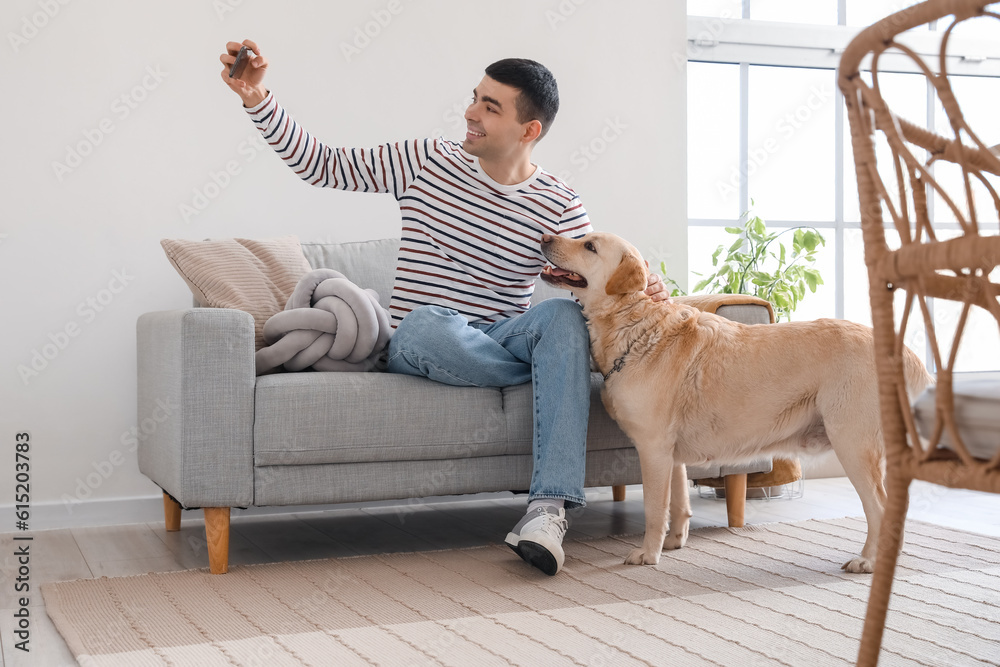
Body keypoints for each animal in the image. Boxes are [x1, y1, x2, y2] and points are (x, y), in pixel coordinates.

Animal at [540, 232, 928, 572]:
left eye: (589, 246)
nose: (545, 238)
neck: (635, 328)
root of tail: (907, 354)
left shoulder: (653, 448)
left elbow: (655, 509)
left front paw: (648, 555)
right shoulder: (671, 454)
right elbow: (678, 503)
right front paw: (674, 542)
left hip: (851, 442)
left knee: (880, 508)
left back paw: (867, 561)